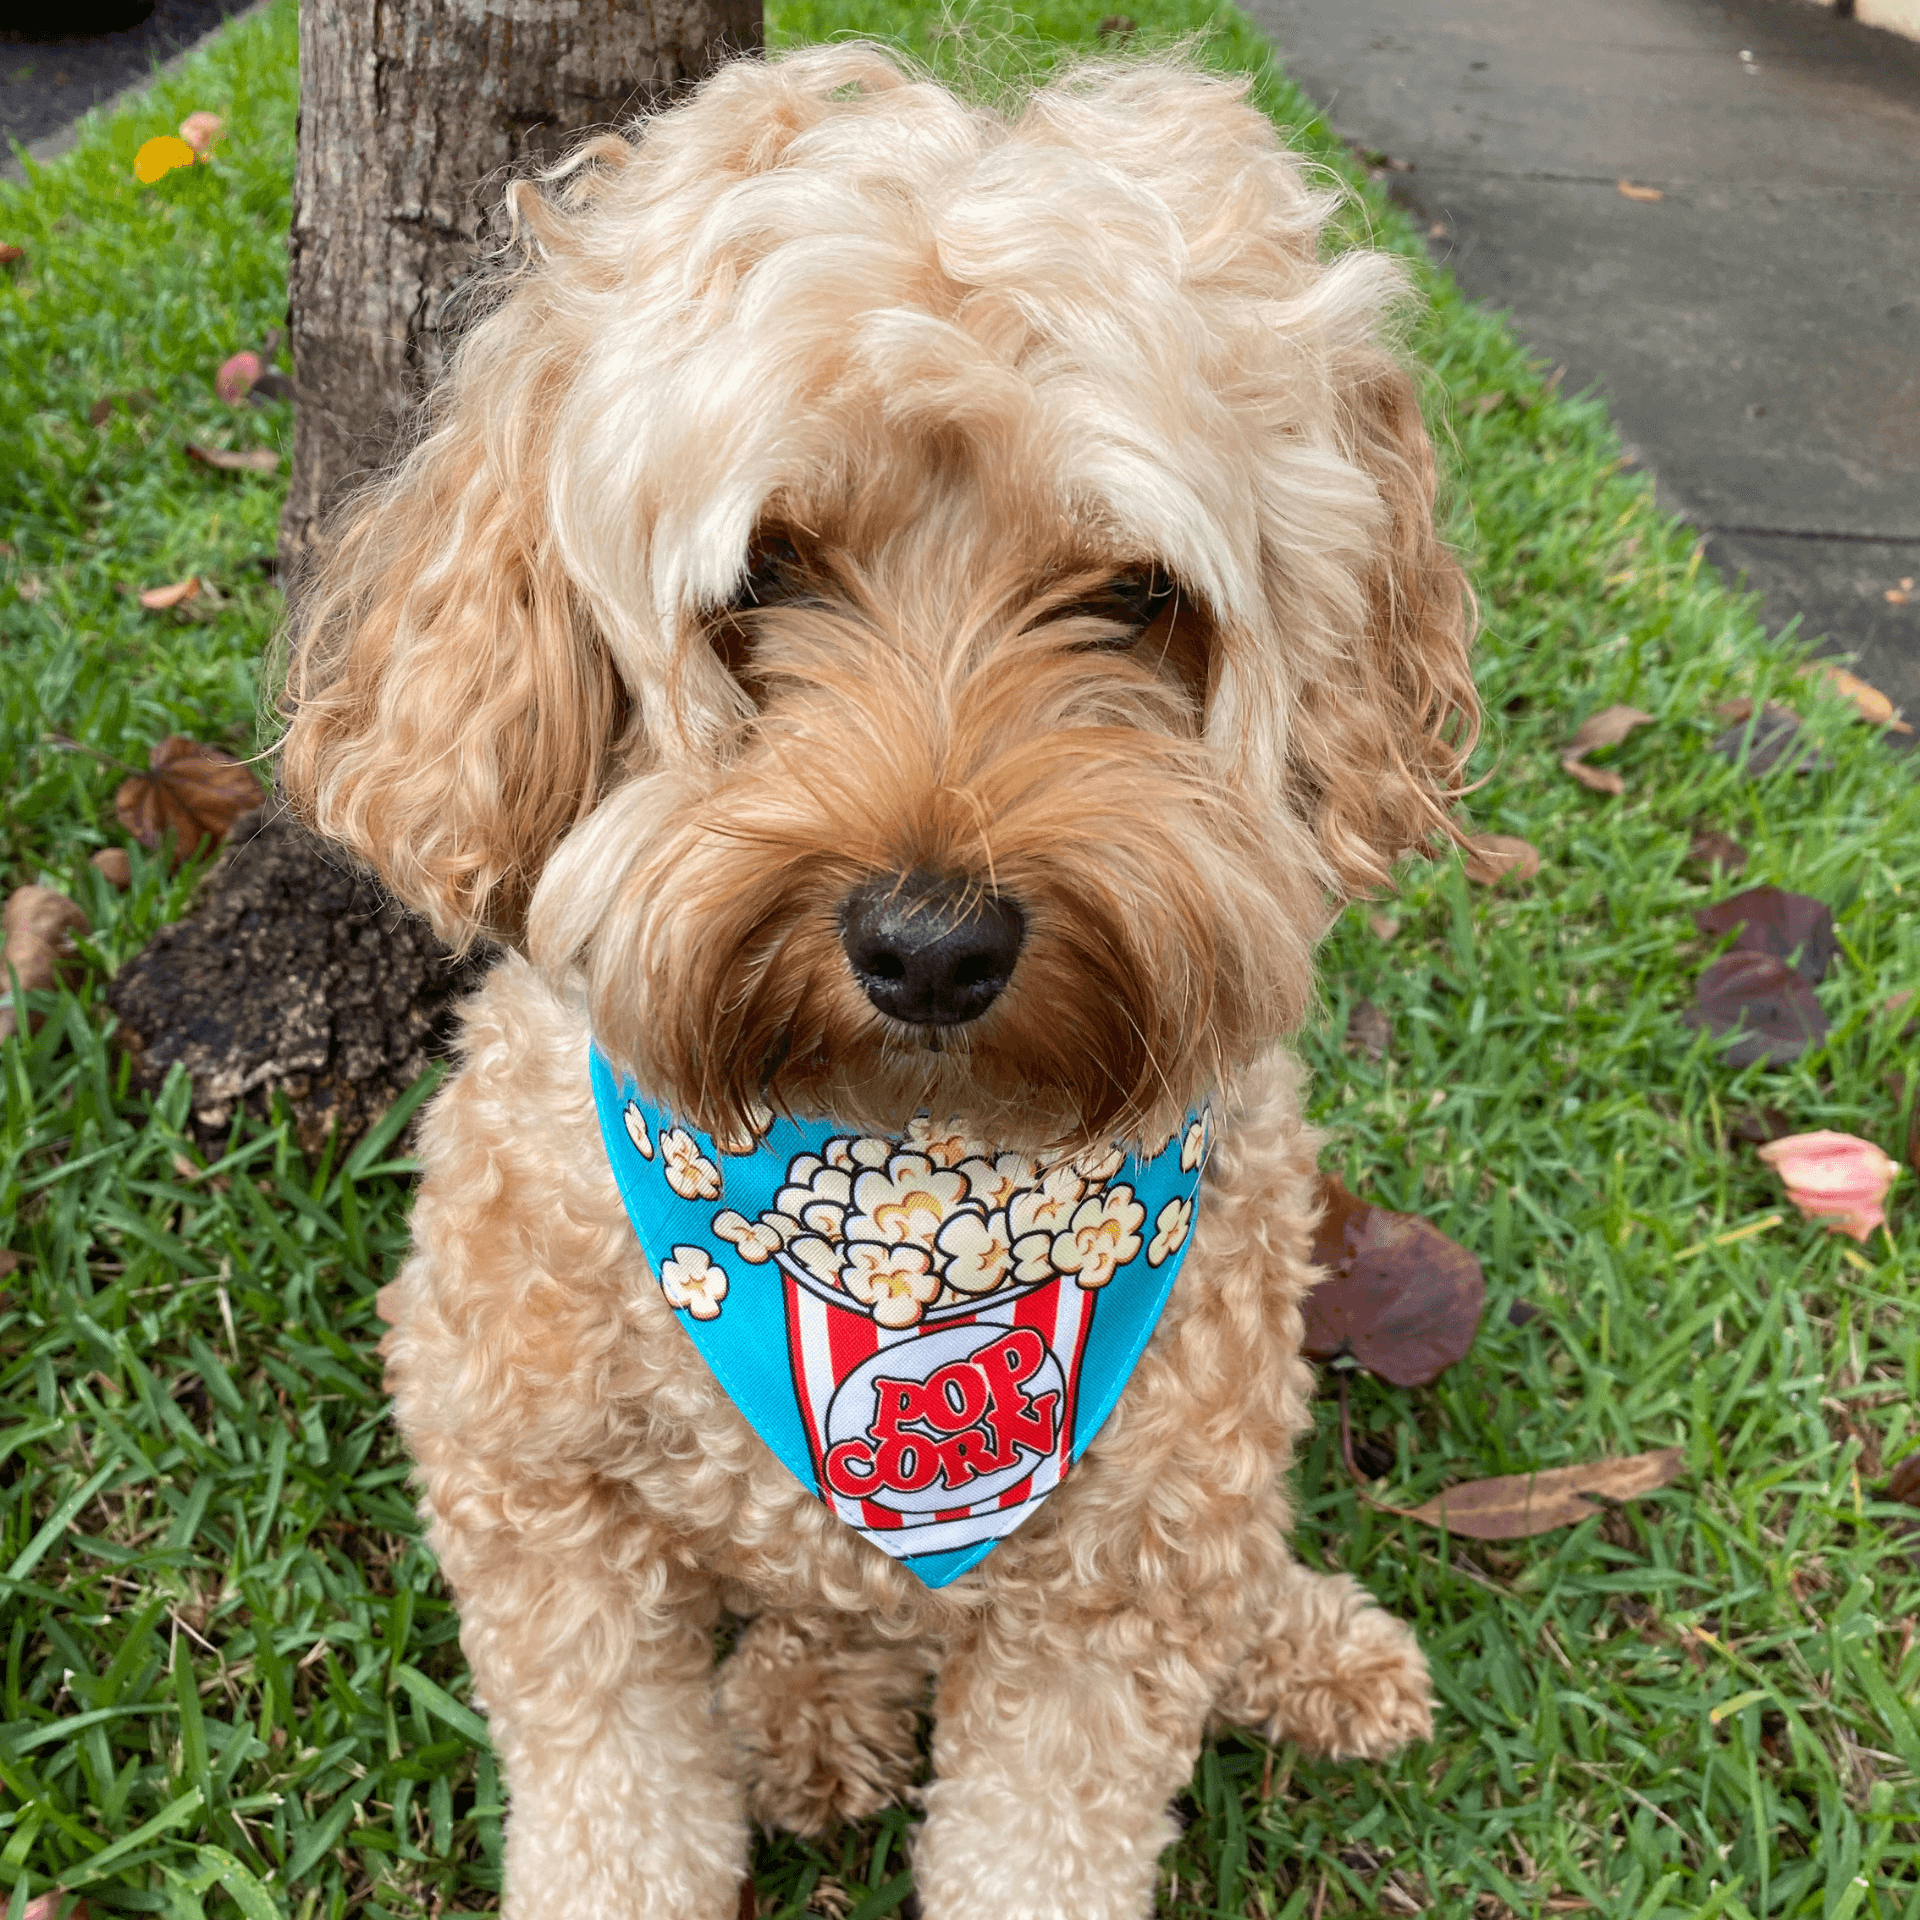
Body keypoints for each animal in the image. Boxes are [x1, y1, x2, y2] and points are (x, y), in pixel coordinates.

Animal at [274, 41, 1466, 1920]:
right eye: (764, 570)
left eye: (1136, 595)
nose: (931, 945)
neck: (895, 1186)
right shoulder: (538, 1501)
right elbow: (617, 1802)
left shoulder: (1113, 1587)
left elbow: (1047, 1837)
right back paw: (808, 1712)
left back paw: (1304, 1646)